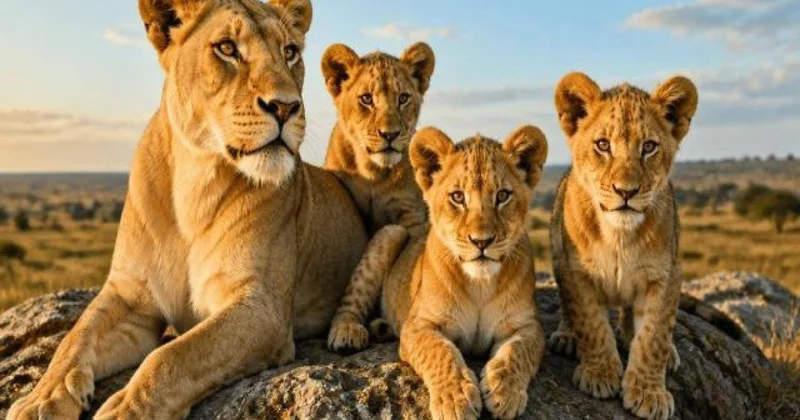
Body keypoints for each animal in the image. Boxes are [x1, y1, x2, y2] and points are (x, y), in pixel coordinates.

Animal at [7, 1, 368, 419]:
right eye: (227, 48)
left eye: (290, 52)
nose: (286, 106)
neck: (195, 185)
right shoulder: (130, 296)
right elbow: (75, 338)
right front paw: (41, 398)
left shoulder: (262, 307)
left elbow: (172, 356)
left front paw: (125, 410)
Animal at [377, 125, 548, 420]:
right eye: (458, 197)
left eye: (502, 196)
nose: (482, 241)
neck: (480, 284)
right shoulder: (418, 324)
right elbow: (439, 352)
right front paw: (455, 399)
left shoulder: (529, 325)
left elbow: (518, 351)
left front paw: (504, 391)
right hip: (390, 234)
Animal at [547, 72, 698, 419]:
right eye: (603, 145)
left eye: (649, 147)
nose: (626, 191)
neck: (620, 236)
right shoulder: (577, 273)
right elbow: (591, 323)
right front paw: (600, 374)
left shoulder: (667, 275)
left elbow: (654, 334)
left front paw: (648, 392)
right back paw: (566, 337)